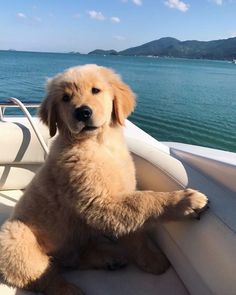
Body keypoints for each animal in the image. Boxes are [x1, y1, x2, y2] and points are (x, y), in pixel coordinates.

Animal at [0, 65, 207, 295]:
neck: (100, 144)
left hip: (79, 236)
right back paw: (70, 289)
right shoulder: (99, 203)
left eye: (96, 90)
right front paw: (184, 201)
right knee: (43, 276)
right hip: (15, 238)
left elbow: (137, 231)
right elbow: (144, 201)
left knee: (76, 258)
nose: (82, 112)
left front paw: (151, 260)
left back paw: (109, 259)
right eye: (65, 98)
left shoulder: (119, 198)